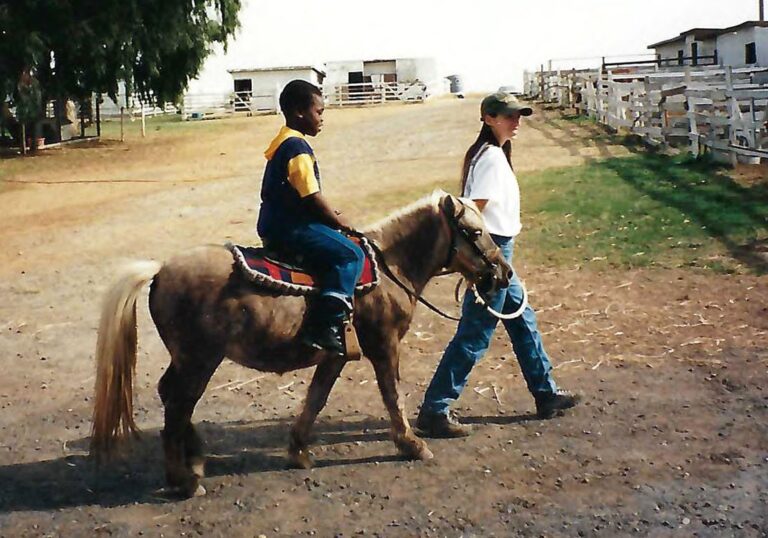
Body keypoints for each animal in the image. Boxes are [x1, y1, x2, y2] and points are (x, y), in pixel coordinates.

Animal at [90, 191, 510, 496]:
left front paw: (298, 450)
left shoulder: (335, 355)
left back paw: (194, 461)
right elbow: (393, 395)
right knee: (178, 405)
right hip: (199, 360)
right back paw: (185, 480)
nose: (503, 273)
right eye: (474, 232)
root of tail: (160, 270)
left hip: (188, 360)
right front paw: (412, 445)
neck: (390, 267)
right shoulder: (384, 345)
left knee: (171, 397)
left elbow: (316, 398)